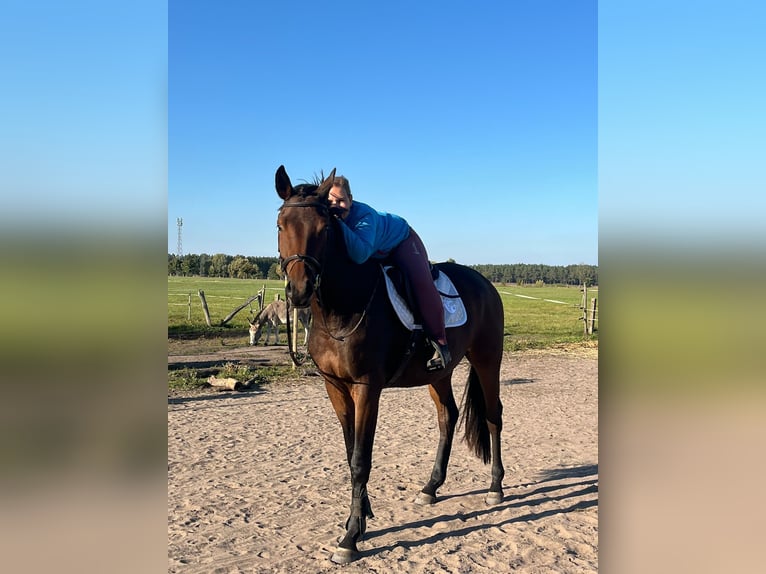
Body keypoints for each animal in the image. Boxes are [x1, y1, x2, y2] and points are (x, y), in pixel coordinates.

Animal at [274, 165, 506, 564]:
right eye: (280, 225)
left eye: (324, 229)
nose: (300, 290)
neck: (341, 308)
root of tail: (486, 284)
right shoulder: (334, 386)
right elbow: (350, 451)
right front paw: (361, 515)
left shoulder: (367, 388)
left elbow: (360, 459)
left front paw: (351, 536)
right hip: (439, 373)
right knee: (448, 416)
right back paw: (431, 487)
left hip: (488, 360)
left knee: (493, 415)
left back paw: (495, 487)